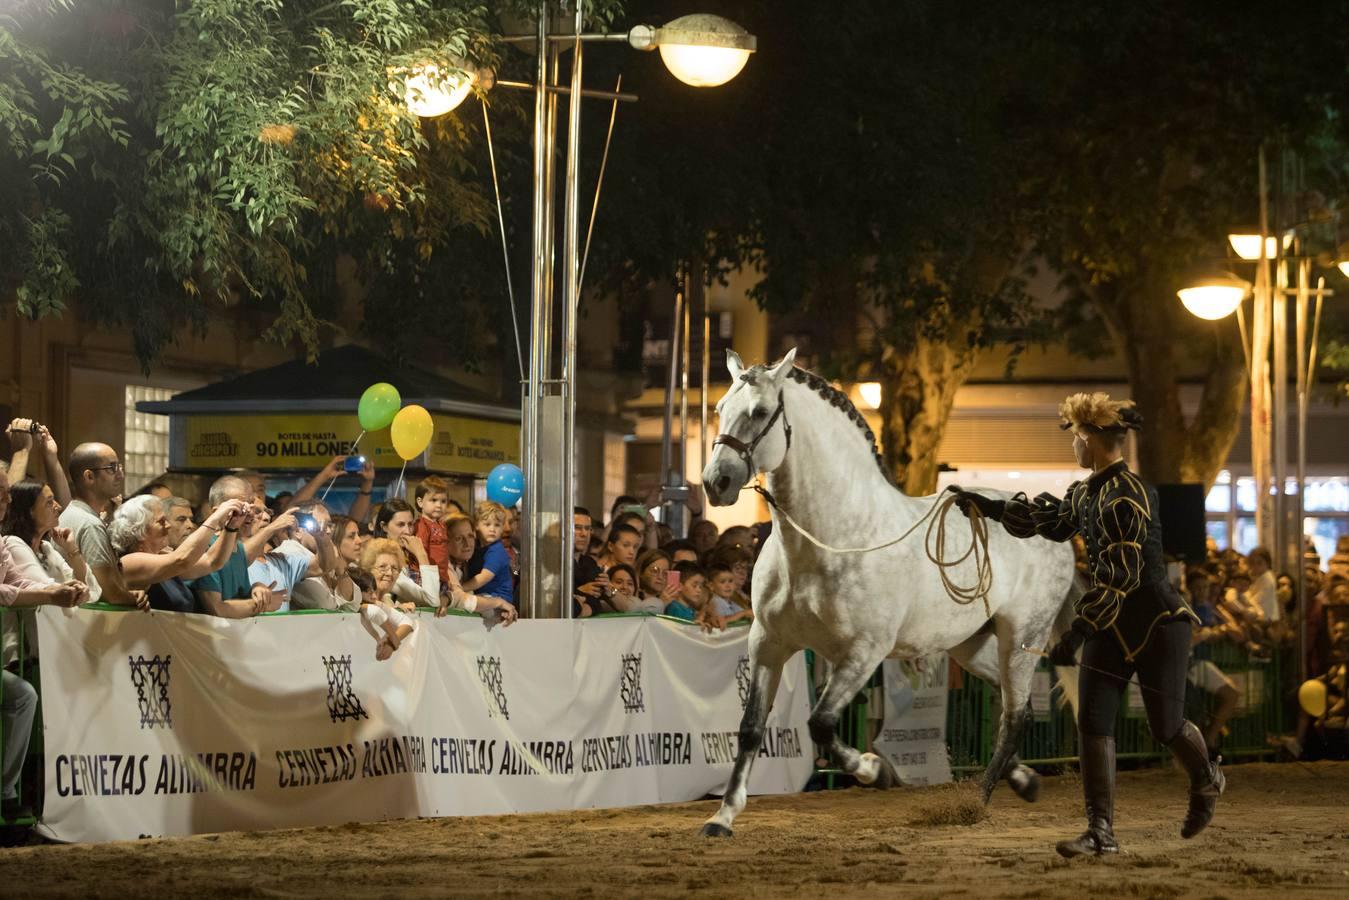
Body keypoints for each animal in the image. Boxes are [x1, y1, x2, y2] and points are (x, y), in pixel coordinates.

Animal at [701, 350, 1079, 836]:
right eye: (719, 408)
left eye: (761, 412)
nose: (716, 483)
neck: (832, 538)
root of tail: (1052, 523)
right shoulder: (768, 643)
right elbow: (750, 727)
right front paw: (723, 816)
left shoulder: (863, 653)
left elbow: (821, 724)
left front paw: (873, 770)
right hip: (969, 645)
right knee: (1019, 706)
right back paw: (1024, 780)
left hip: (1022, 638)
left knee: (1014, 714)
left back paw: (978, 800)